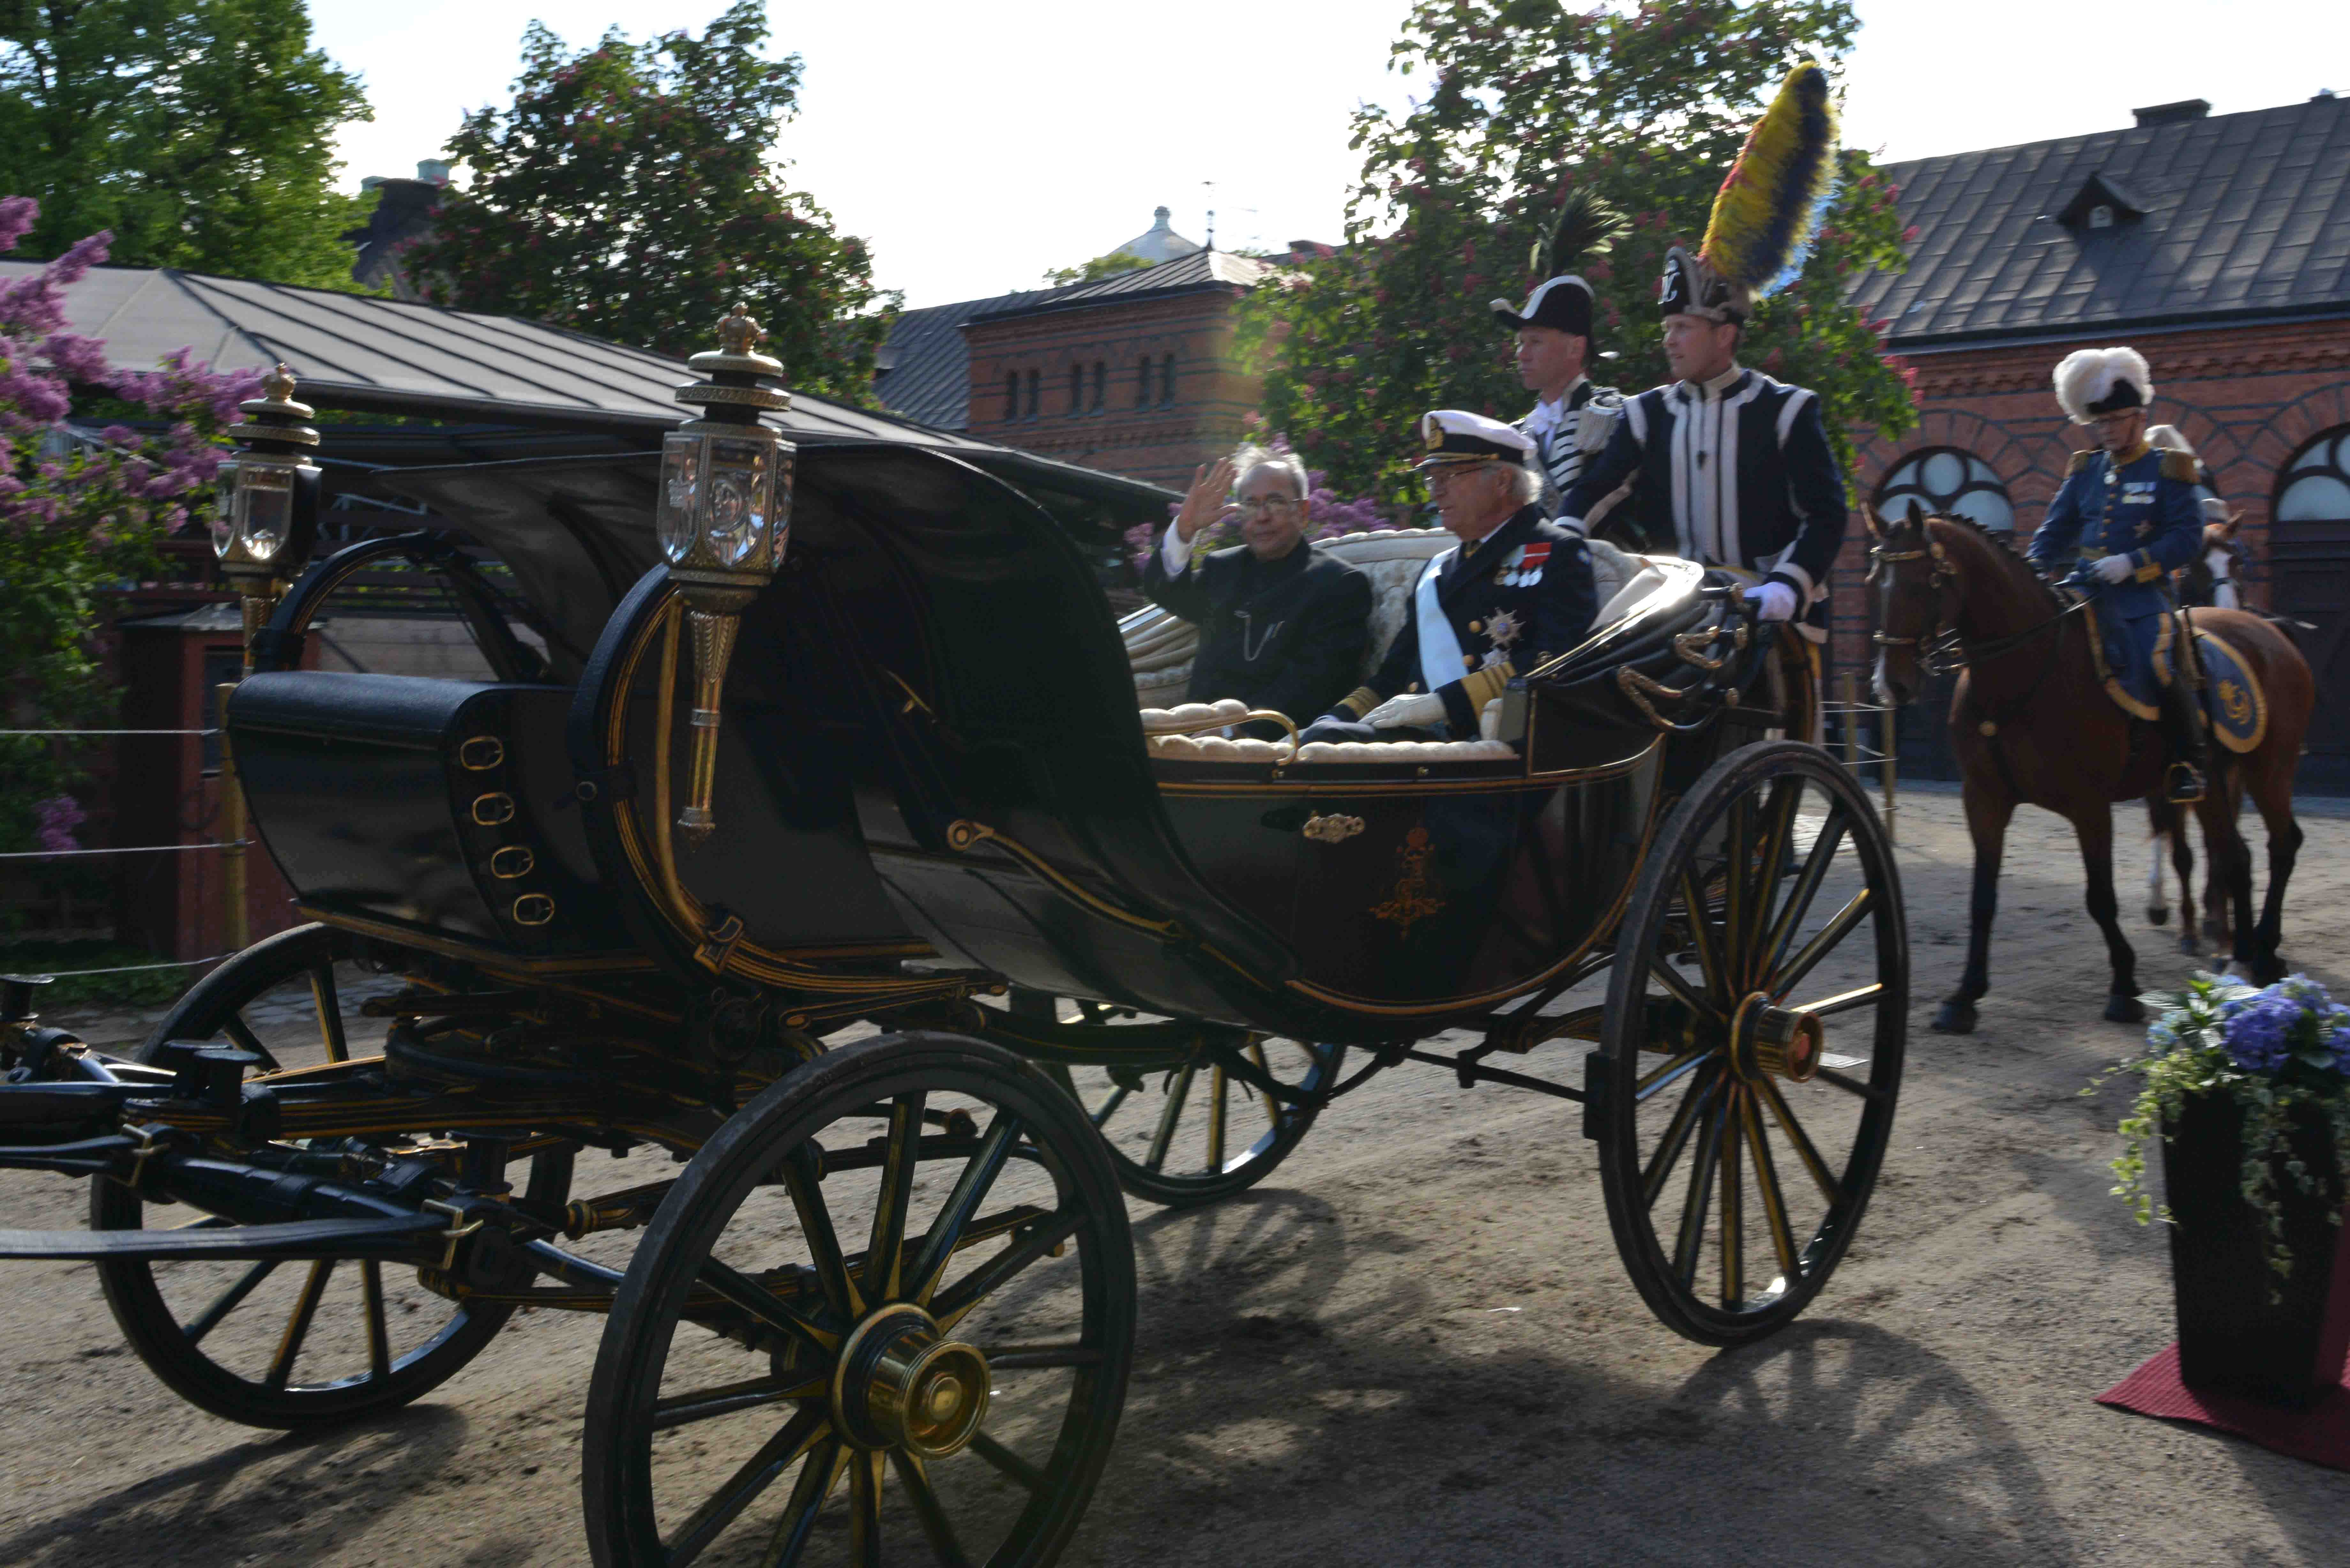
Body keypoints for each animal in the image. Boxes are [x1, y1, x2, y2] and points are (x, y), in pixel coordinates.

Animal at [1870, 510, 2312, 1034]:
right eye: (1877, 582)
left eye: (1925, 584)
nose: (1891, 683)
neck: (2023, 674)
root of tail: (2269, 631)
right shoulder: (1984, 801)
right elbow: (1982, 899)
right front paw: (1964, 995)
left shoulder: (2090, 806)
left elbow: (2100, 898)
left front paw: (2123, 986)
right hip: (2211, 784)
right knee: (2235, 856)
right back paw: (2241, 959)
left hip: (2268, 768)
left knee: (2281, 845)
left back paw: (2263, 952)